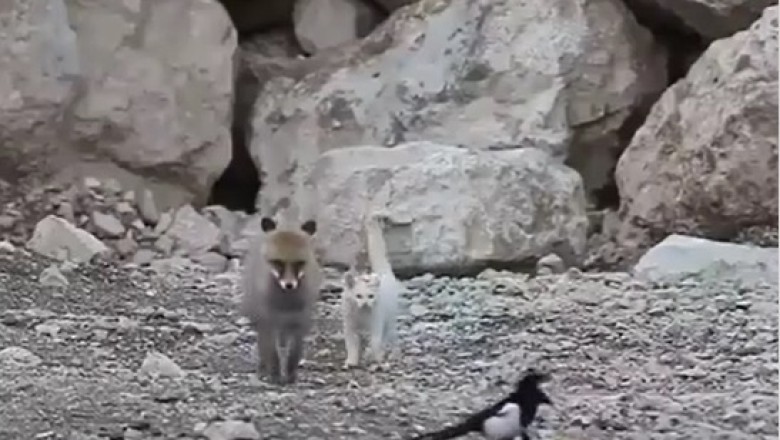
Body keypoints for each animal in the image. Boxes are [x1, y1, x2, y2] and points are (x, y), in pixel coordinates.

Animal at [239, 216, 322, 385]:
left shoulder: (299, 321)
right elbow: (272, 353)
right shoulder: (269, 320)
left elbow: (294, 353)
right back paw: (262, 370)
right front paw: (275, 374)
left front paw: (290, 375)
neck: (286, 303)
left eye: (299, 263)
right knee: (263, 347)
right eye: (278, 262)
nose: (289, 285)